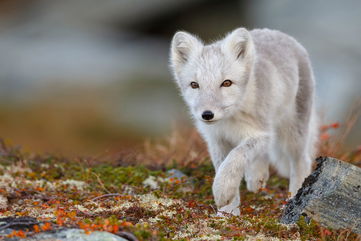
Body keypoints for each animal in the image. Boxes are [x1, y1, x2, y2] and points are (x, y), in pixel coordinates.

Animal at [168, 27, 316, 215]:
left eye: (226, 83)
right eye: (194, 85)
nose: (207, 114)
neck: (229, 120)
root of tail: (278, 33)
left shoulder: (262, 133)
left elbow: (235, 157)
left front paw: (222, 190)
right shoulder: (217, 140)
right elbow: (223, 165)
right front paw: (227, 213)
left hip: (292, 133)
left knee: (302, 161)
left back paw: (293, 196)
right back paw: (257, 179)